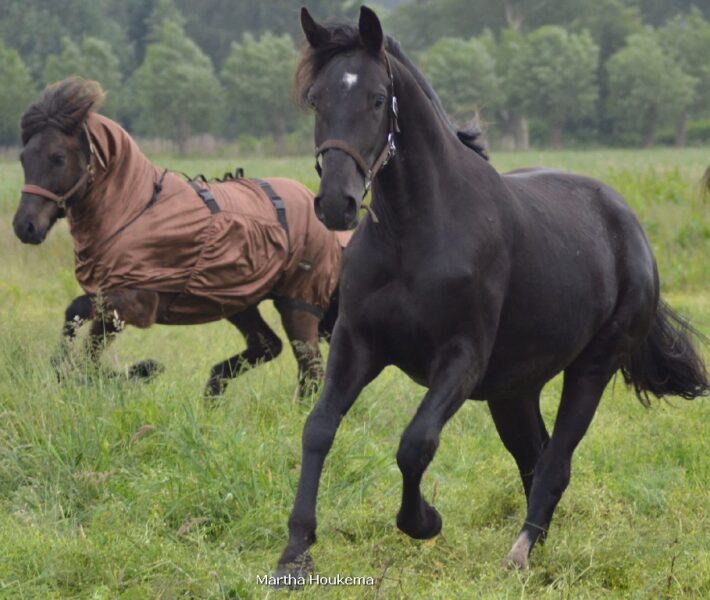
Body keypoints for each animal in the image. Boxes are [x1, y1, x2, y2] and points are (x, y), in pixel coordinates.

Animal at [13, 79, 350, 398]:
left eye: (57, 157)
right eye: (23, 157)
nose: (24, 226)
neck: (133, 209)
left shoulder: (137, 301)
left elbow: (75, 312)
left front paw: (143, 369)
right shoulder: (112, 307)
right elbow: (88, 354)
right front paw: (125, 373)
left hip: (298, 305)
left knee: (310, 373)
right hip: (237, 299)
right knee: (267, 345)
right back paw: (212, 394)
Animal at [276, 4, 708, 576]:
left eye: (376, 98)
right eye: (316, 98)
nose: (335, 204)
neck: (415, 232)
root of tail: (628, 225)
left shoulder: (462, 358)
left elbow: (415, 443)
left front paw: (424, 521)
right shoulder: (357, 345)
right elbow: (318, 428)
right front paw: (295, 551)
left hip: (591, 369)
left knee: (555, 461)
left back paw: (519, 555)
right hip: (514, 390)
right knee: (535, 455)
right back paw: (535, 546)